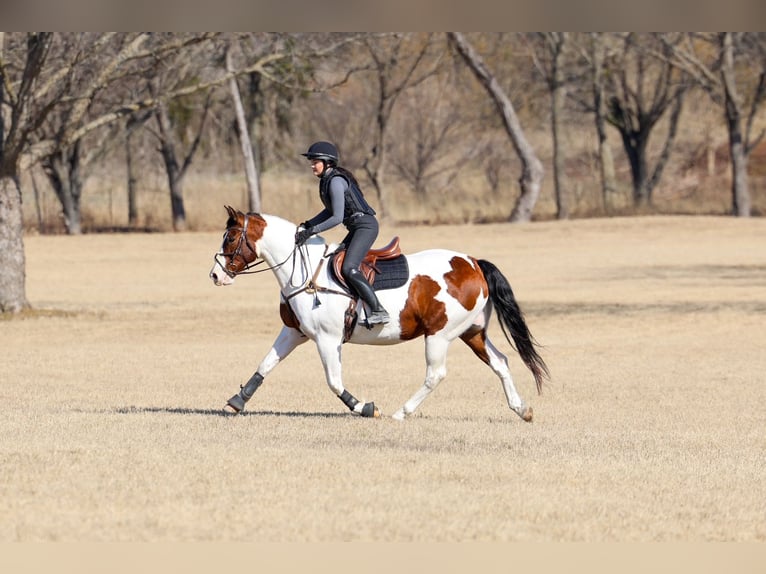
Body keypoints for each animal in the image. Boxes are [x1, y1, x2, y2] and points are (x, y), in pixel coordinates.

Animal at [209, 206, 549, 421]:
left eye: (230, 238)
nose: (215, 275)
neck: (303, 270)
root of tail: (474, 263)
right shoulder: (295, 332)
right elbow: (265, 365)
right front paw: (236, 402)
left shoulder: (326, 339)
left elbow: (334, 382)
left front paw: (365, 407)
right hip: (472, 332)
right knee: (500, 362)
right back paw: (522, 410)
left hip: (439, 335)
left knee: (435, 374)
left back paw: (401, 413)